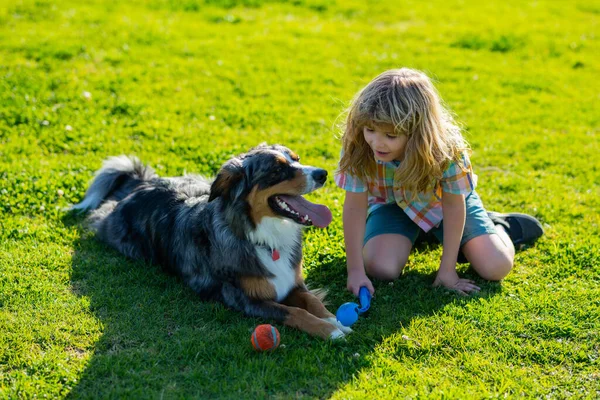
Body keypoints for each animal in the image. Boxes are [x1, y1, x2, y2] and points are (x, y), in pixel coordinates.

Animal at [73, 144, 352, 338]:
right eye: (277, 170)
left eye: (297, 159)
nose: (323, 173)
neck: (262, 238)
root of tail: (143, 184)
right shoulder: (244, 299)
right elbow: (294, 312)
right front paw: (330, 331)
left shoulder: (293, 283)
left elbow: (311, 301)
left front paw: (334, 320)